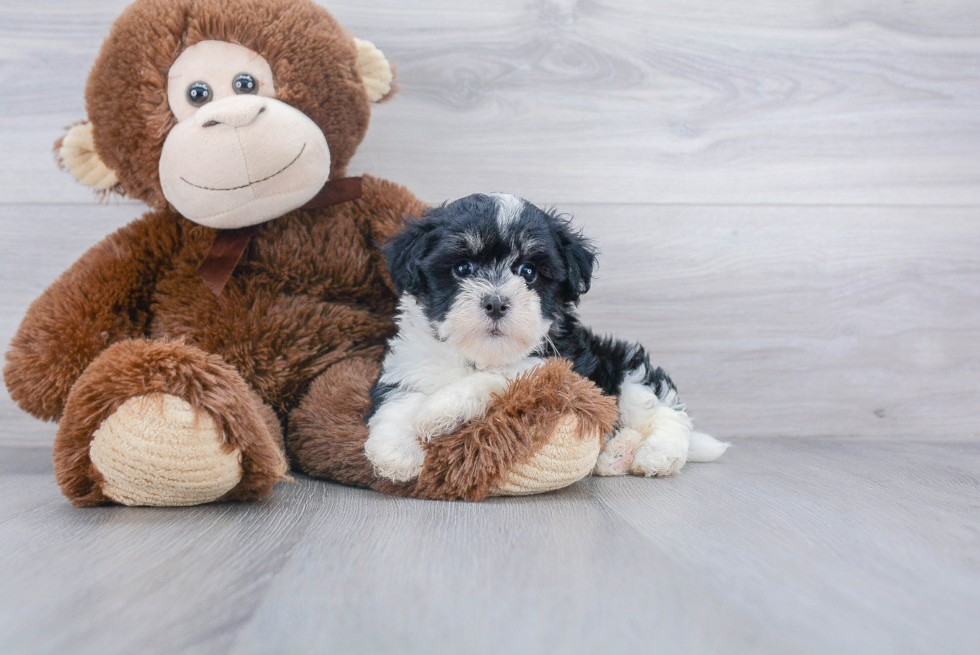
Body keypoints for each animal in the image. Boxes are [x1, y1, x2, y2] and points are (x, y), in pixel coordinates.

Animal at [364, 193, 724, 482]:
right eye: (463, 268)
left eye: (528, 272)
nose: (496, 302)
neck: (479, 354)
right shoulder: (408, 364)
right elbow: (396, 401)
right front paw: (395, 454)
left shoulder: (557, 371)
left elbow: (499, 377)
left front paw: (440, 410)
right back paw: (617, 455)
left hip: (626, 367)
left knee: (664, 412)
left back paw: (657, 455)